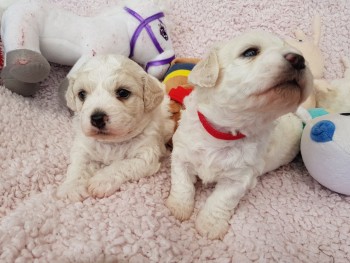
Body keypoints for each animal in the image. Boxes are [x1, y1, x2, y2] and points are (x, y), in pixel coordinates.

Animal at [57, 53, 175, 202]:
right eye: (82, 94)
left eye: (123, 93)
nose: (97, 118)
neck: (112, 142)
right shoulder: (82, 148)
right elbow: (78, 166)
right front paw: (71, 186)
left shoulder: (146, 156)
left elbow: (121, 165)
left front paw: (100, 181)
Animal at [165, 29, 314, 240]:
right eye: (250, 52)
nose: (299, 59)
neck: (223, 133)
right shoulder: (181, 155)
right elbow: (182, 183)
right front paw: (178, 208)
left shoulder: (239, 178)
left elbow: (221, 200)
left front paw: (209, 226)